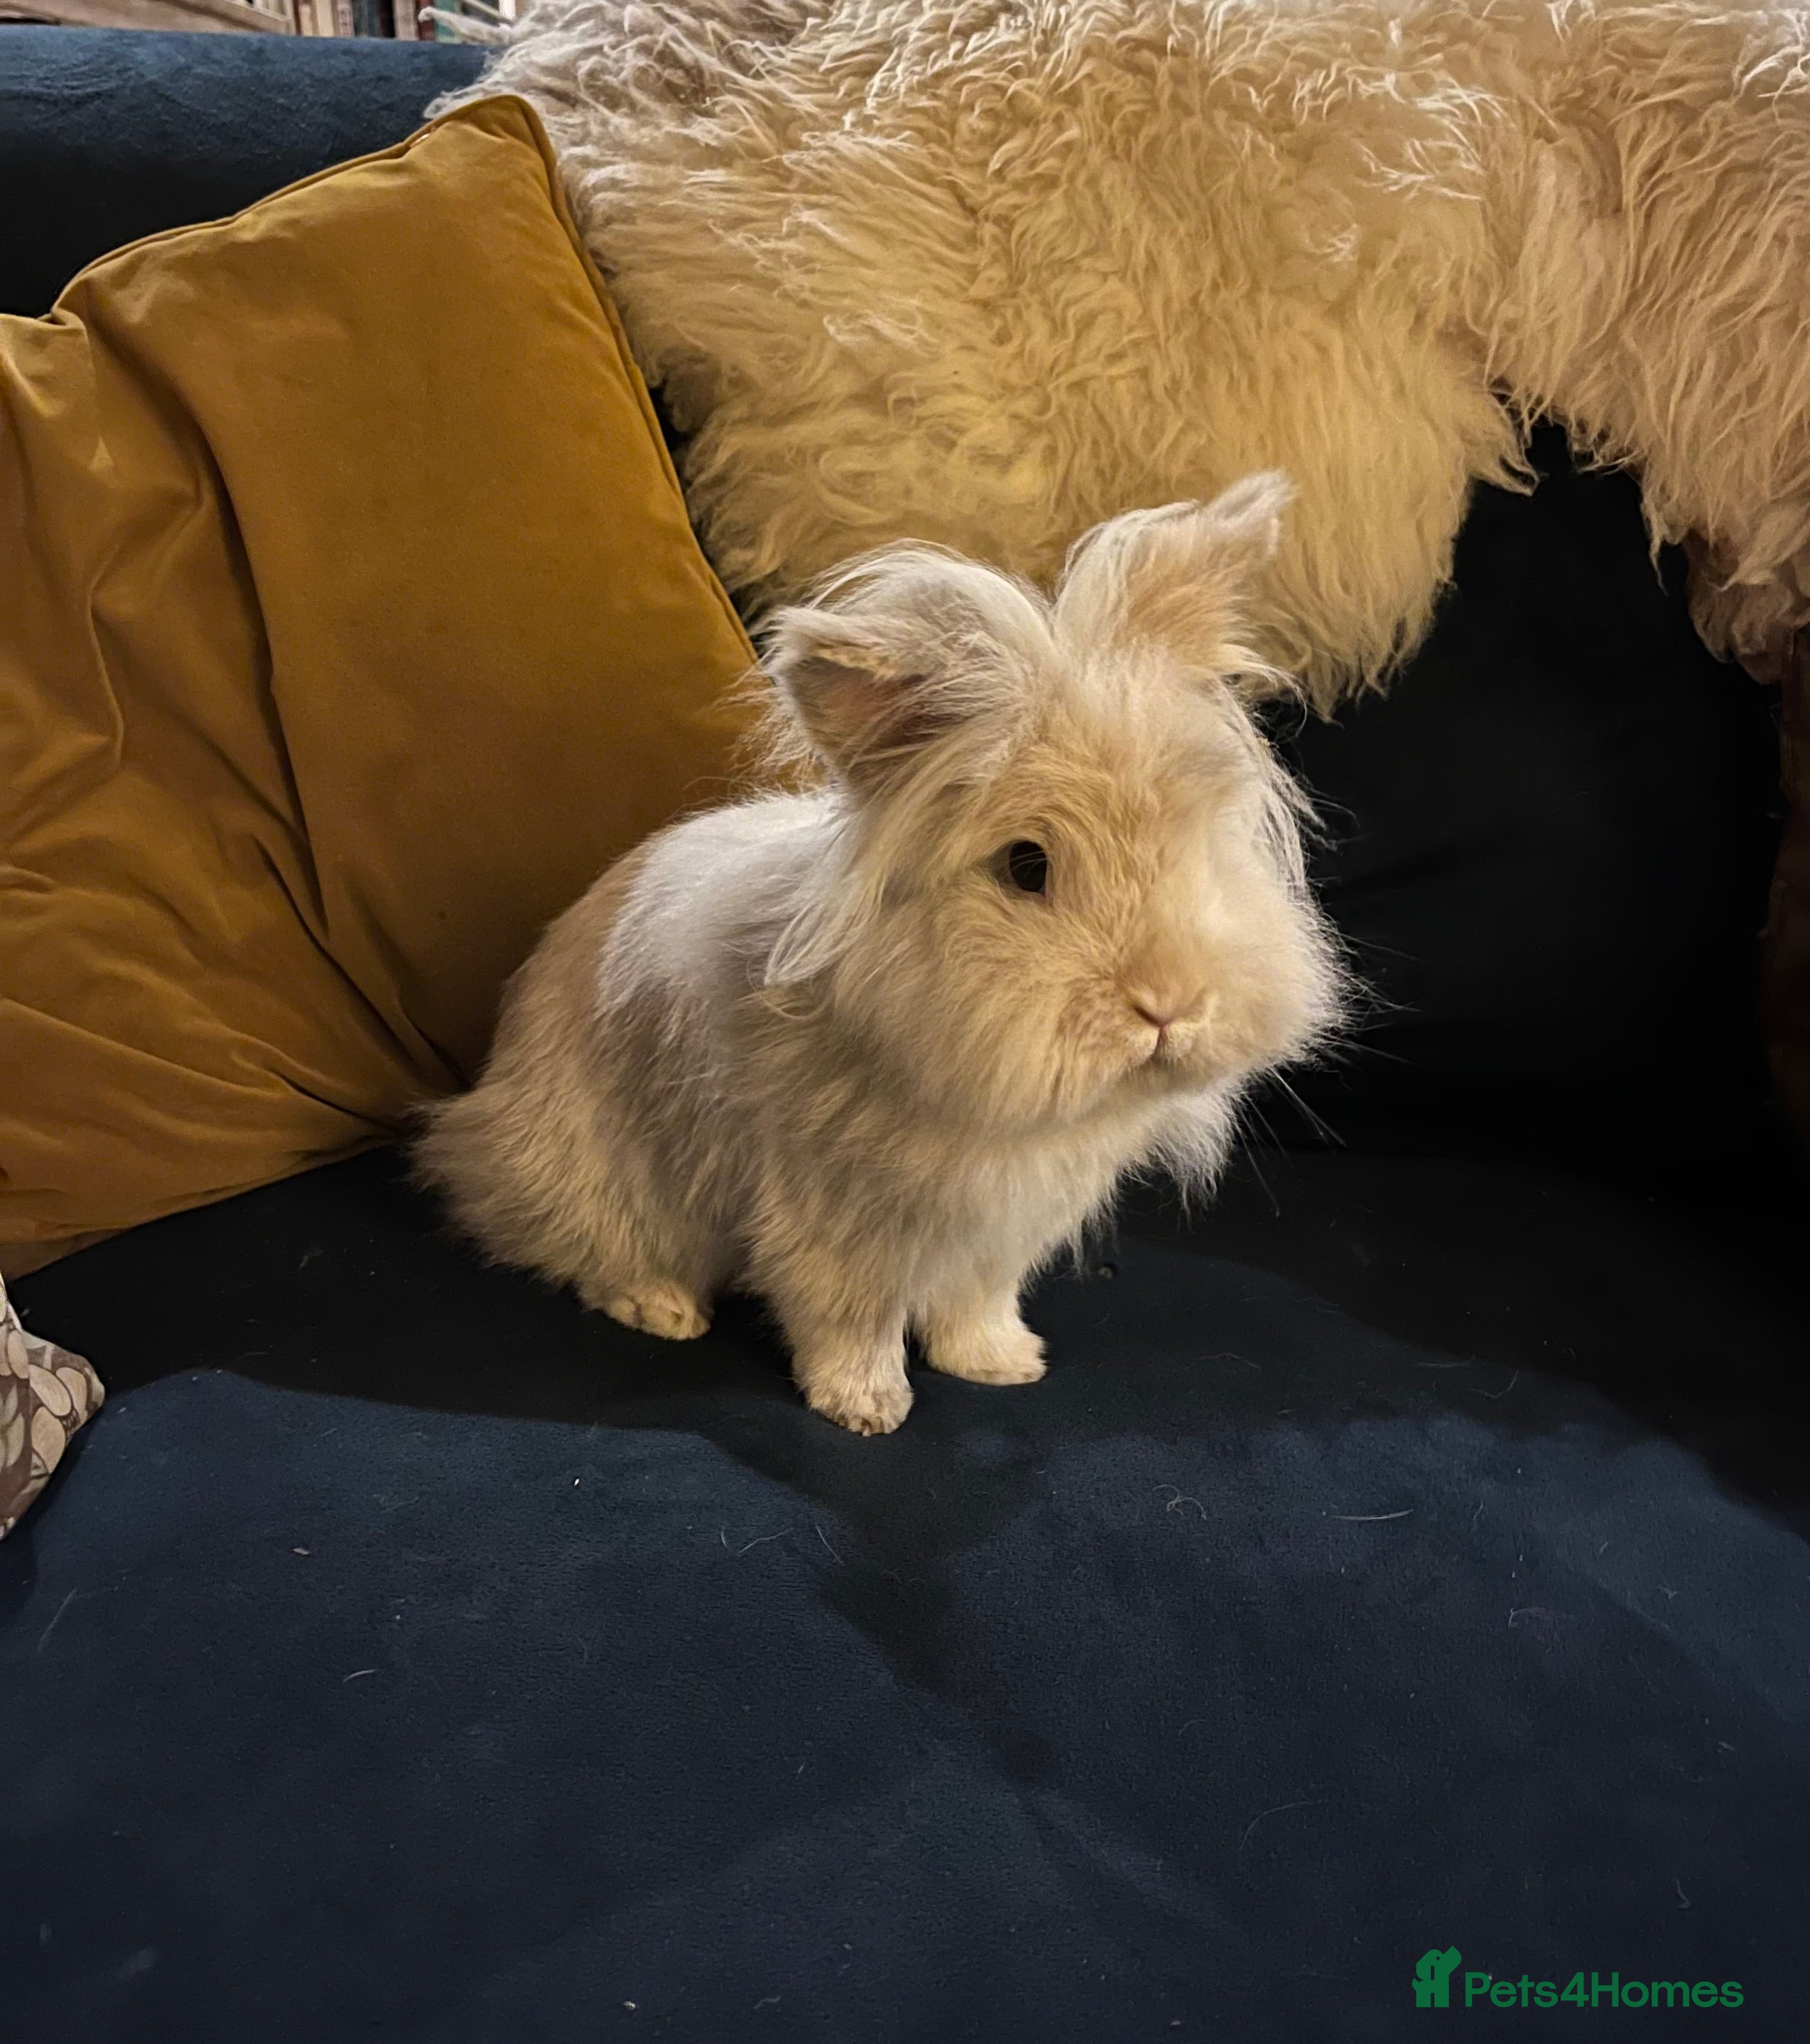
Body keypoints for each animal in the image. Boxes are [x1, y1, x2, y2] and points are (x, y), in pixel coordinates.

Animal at [416, 474, 1343, 1434]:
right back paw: (663, 1310)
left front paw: (1005, 1366)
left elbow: (976, 1305)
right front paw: (866, 1409)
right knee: (579, 1249)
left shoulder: (996, 1238)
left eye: (1199, 835)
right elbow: (848, 1319)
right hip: (595, 1179)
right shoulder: (834, 1223)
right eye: (1027, 866)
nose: (1167, 1005)